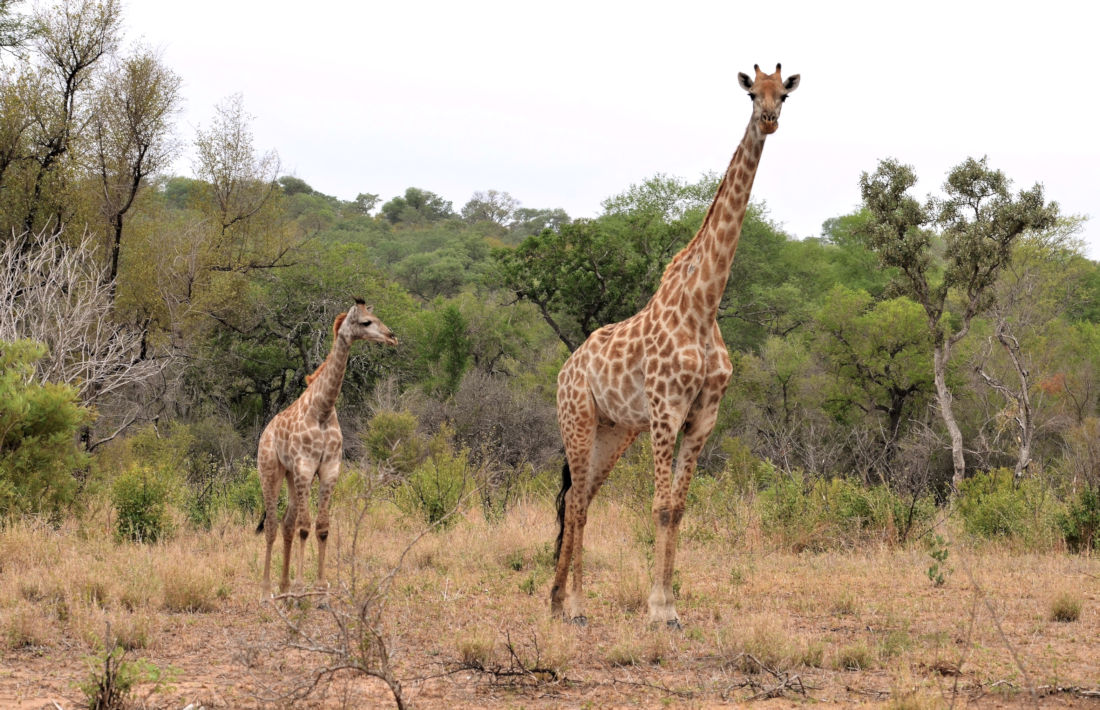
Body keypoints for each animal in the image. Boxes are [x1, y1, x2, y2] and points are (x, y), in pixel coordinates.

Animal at [255, 299, 398, 598]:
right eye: (366, 322)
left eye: (375, 317)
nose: (392, 336)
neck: (322, 410)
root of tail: (265, 432)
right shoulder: (305, 466)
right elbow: (305, 527)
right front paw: (302, 586)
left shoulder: (329, 468)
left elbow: (321, 527)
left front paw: (320, 587)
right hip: (270, 471)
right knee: (273, 525)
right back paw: (267, 590)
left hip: (291, 476)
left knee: (286, 523)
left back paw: (284, 587)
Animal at [550, 62, 800, 625]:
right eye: (751, 94)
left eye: (785, 95)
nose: (769, 120)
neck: (704, 306)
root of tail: (566, 368)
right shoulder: (667, 410)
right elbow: (661, 507)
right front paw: (658, 610)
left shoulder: (704, 415)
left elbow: (680, 509)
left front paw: (669, 605)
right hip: (577, 419)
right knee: (575, 502)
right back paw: (574, 605)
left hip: (615, 431)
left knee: (582, 499)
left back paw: (555, 600)